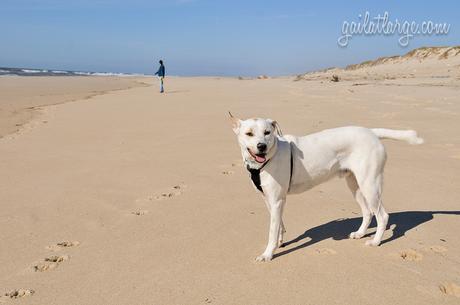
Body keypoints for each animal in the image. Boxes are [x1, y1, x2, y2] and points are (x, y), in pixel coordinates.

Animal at [230, 113, 424, 260]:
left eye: (267, 132)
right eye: (249, 134)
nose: (261, 146)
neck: (270, 157)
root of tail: (371, 132)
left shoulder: (277, 200)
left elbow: (271, 230)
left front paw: (268, 254)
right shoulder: (270, 200)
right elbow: (278, 224)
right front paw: (280, 241)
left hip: (370, 185)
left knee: (382, 216)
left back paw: (375, 242)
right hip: (355, 185)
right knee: (368, 212)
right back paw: (360, 233)